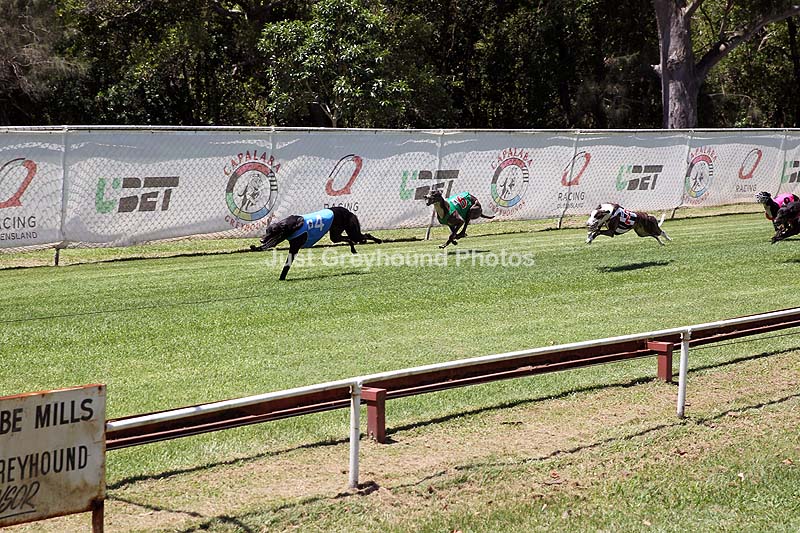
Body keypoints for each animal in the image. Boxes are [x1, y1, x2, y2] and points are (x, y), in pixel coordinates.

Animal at [250, 206, 381, 279]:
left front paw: (282, 277)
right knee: (349, 239)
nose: (261, 239)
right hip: (336, 235)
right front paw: (255, 246)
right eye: (266, 231)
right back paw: (353, 249)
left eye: (272, 231)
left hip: (352, 231)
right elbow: (268, 245)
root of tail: (348, 211)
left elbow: (286, 264)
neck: (290, 225)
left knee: (364, 236)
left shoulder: (294, 246)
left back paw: (378, 240)